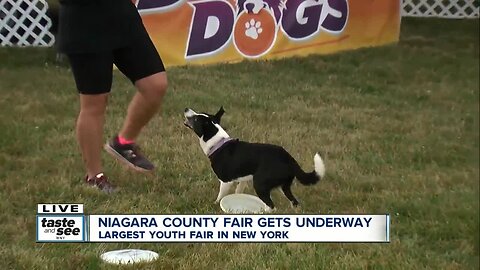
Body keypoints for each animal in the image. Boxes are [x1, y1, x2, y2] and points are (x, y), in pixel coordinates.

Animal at [184, 106, 326, 210]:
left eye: (196, 119)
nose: (186, 109)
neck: (218, 142)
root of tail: (289, 159)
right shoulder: (243, 179)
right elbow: (238, 192)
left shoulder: (225, 181)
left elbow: (220, 196)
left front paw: (215, 204)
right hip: (283, 186)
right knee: (294, 202)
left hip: (260, 184)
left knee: (271, 206)